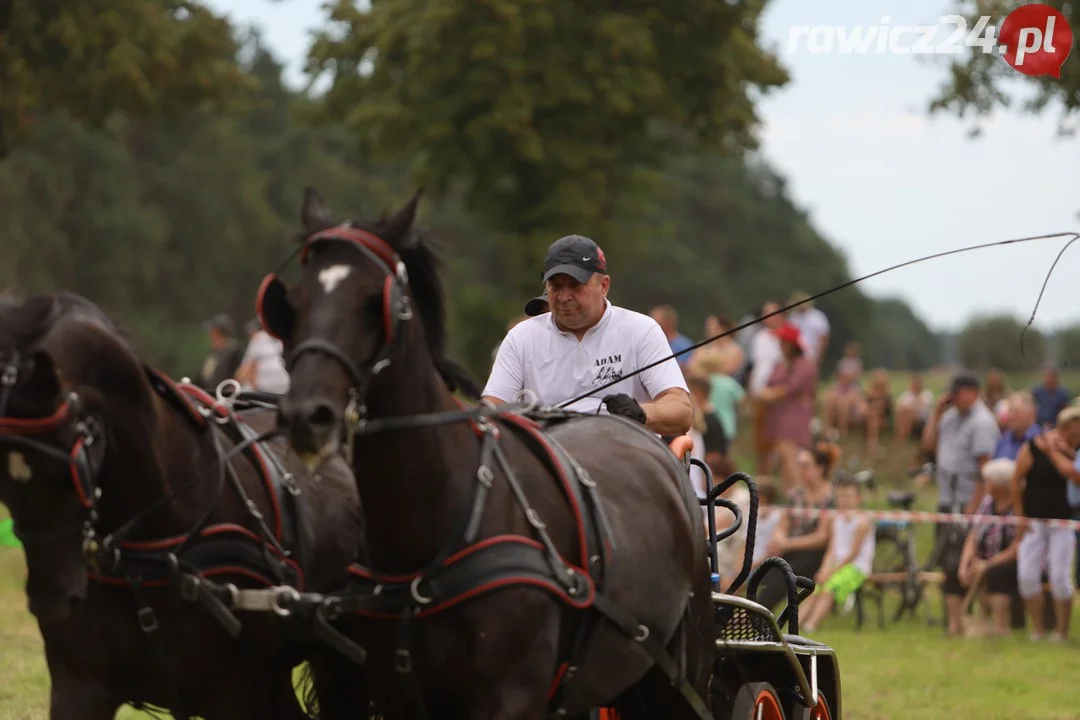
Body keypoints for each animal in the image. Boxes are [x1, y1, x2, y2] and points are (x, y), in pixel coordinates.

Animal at [258, 188, 717, 716]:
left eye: (377, 303)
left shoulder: (511, 695)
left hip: (681, 674)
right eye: (292, 303)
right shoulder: (395, 690)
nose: (306, 414)